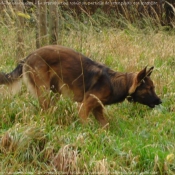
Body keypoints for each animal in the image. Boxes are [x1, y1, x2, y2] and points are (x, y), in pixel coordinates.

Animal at [0, 44, 162, 125]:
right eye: (149, 89)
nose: (160, 101)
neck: (117, 83)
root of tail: (29, 55)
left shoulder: (97, 109)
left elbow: (105, 126)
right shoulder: (85, 107)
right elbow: (85, 123)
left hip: (54, 92)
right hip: (45, 91)